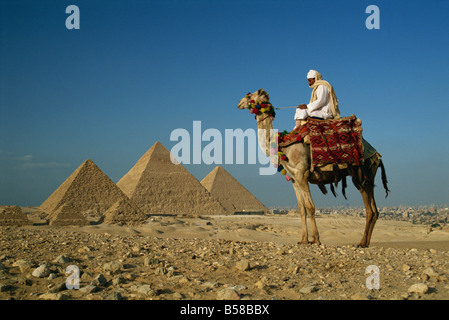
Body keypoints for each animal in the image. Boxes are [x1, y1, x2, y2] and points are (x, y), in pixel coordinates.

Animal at [236, 89, 386, 249]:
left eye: (250, 95)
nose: (239, 103)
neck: (282, 145)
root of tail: (376, 154)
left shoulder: (302, 174)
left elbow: (310, 207)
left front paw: (316, 240)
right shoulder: (294, 179)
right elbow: (302, 209)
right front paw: (303, 239)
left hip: (362, 173)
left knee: (369, 210)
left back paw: (362, 242)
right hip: (366, 176)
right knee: (375, 211)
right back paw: (365, 242)